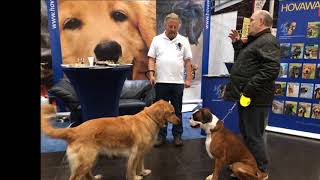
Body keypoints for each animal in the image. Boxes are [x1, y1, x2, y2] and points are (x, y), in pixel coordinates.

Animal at [41, 100, 179, 180]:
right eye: (172, 112)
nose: (178, 121)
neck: (150, 118)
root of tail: (74, 130)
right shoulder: (135, 153)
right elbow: (132, 169)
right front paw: (135, 177)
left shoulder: (141, 153)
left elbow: (141, 164)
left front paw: (143, 172)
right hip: (87, 160)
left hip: (91, 158)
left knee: (87, 174)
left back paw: (95, 178)